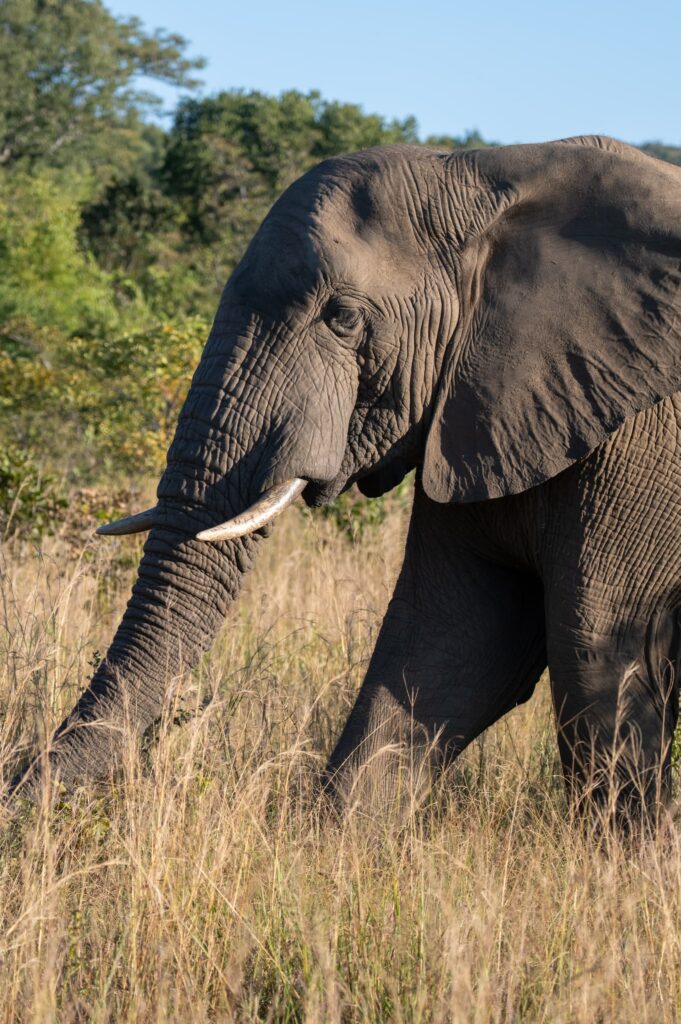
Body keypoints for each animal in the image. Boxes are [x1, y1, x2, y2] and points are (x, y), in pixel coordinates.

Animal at [13, 134, 679, 823]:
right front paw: (337, 838)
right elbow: (450, 640)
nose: (20, 799)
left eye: (343, 319)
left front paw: (622, 850)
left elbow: (598, 647)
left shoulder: (638, 443)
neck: (487, 175)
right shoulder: (474, 411)